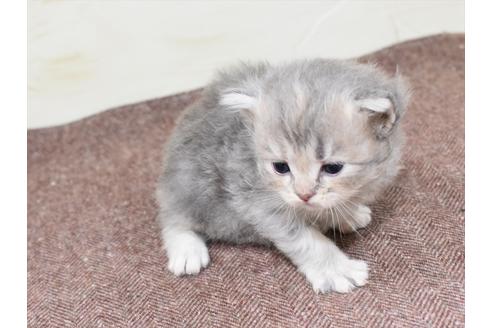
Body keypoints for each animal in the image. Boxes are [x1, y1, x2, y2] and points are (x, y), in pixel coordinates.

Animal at [156, 59, 410, 294]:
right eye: (281, 167)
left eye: (332, 168)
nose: (303, 194)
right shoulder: (258, 202)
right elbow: (306, 240)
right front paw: (335, 269)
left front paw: (347, 214)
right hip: (190, 183)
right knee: (173, 215)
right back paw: (187, 249)